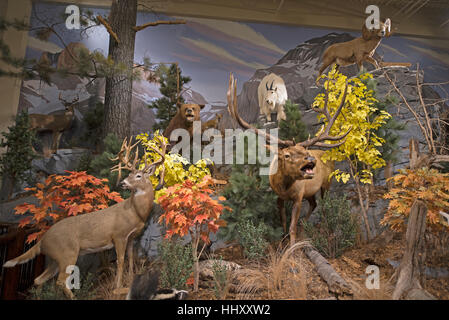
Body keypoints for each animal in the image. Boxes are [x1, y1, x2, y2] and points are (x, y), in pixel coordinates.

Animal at [2, 136, 166, 298]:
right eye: (129, 174)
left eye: (138, 176)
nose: (122, 183)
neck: (135, 212)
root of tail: (42, 240)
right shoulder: (118, 235)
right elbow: (120, 261)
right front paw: (117, 288)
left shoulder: (131, 237)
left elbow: (130, 259)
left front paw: (131, 280)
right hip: (67, 253)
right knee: (60, 281)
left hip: (56, 259)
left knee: (38, 279)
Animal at [228, 73, 350, 245]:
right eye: (287, 154)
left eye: (304, 150)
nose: (311, 159)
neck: (285, 187)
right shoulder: (279, 197)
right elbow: (283, 222)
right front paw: (283, 240)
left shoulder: (298, 197)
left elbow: (292, 226)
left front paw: (292, 246)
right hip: (311, 191)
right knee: (314, 204)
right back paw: (304, 226)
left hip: (326, 183)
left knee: (325, 206)